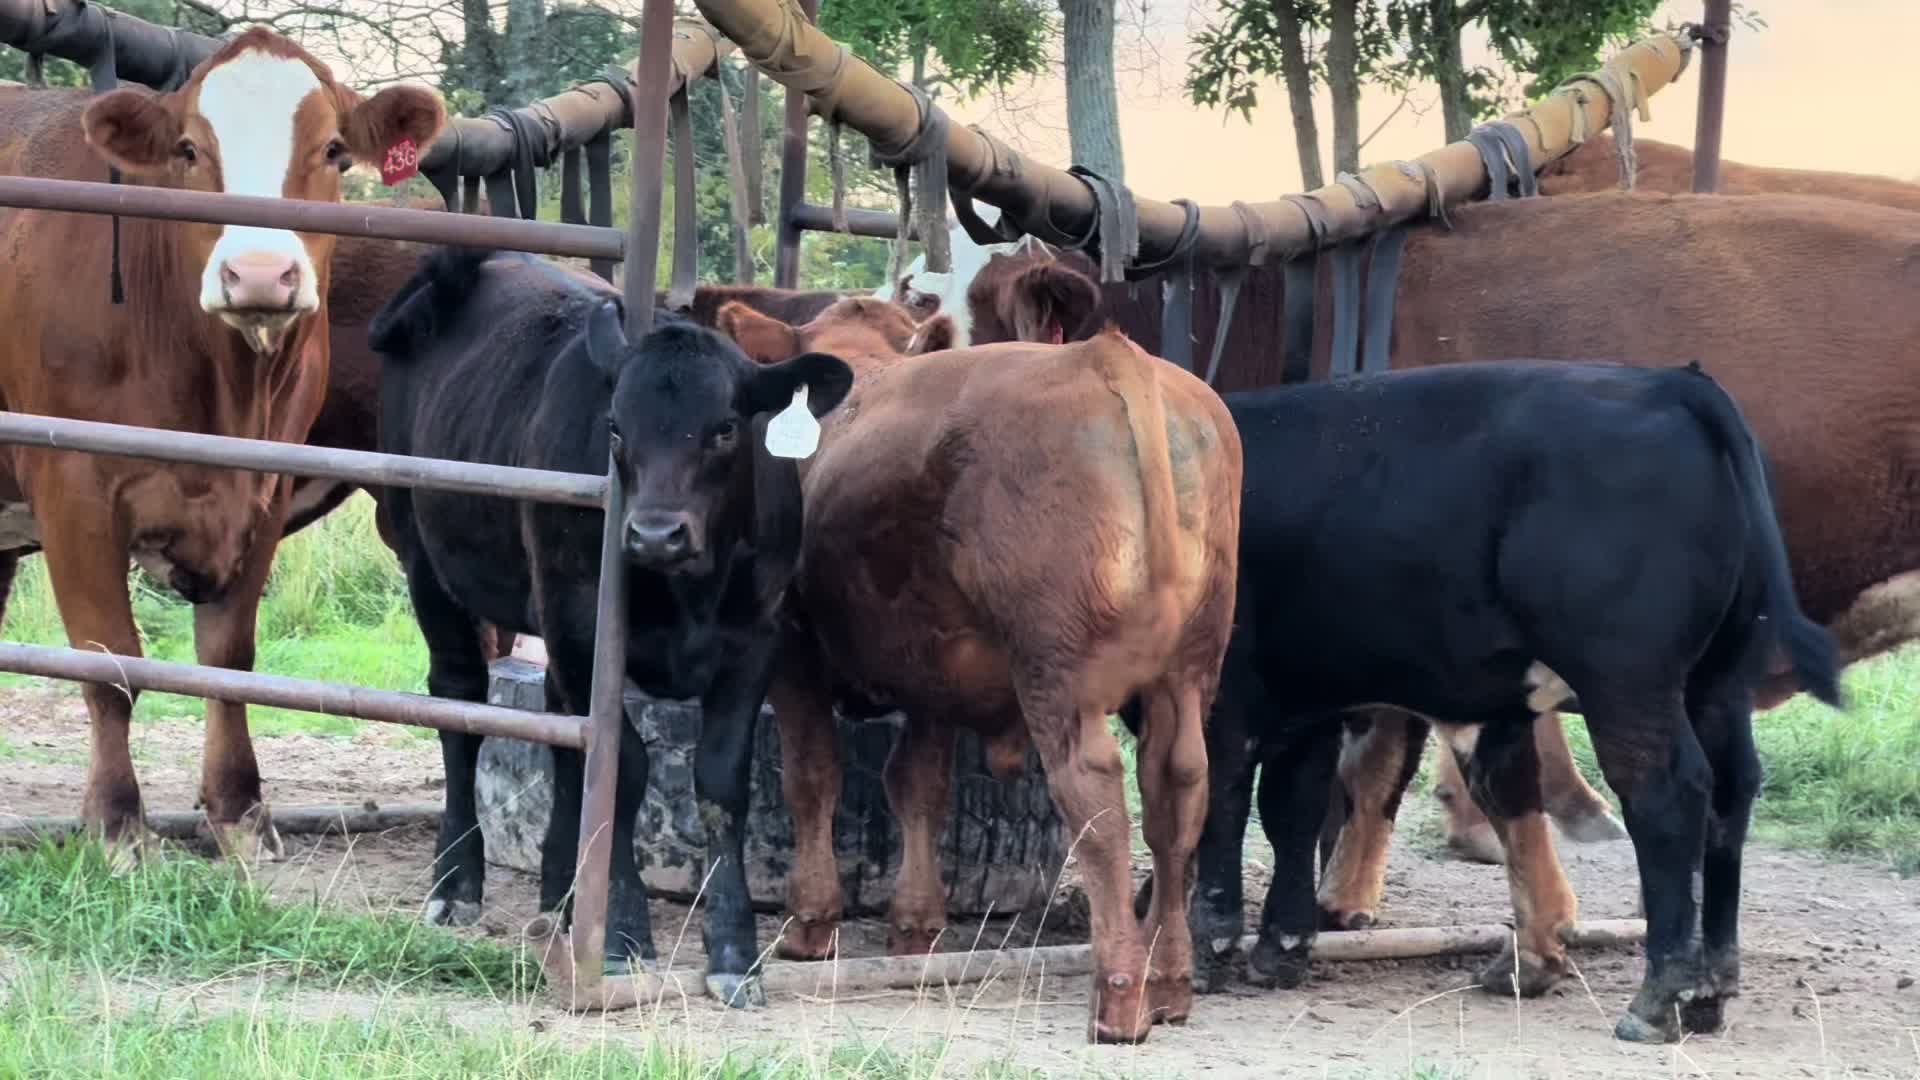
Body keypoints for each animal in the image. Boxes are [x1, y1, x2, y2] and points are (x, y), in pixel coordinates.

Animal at [0, 29, 445, 858]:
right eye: (187, 149)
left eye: (334, 149)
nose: (260, 274)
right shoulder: (72, 485)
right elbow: (110, 663)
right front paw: (117, 823)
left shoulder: (264, 486)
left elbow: (228, 658)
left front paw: (240, 812)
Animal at [368, 246, 853, 1007]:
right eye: (616, 428)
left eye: (725, 427)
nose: (654, 534)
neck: (692, 588)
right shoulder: (580, 622)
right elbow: (623, 768)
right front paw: (622, 937)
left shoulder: (756, 637)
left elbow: (720, 783)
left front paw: (734, 951)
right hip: (424, 556)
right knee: (461, 702)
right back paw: (458, 882)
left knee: (562, 732)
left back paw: (561, 895)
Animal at [1123, 360, 1839, 1044]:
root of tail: (1674, 384)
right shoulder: (1304, 701)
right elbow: (1290, 813)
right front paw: (1281, 947)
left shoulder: (1218, 699)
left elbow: (1213, 814)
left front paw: (1199, 951)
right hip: (1716, 681)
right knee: (1729, 793)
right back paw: (1703, 989)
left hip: (1629, 679)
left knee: (1667, 796)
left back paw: (1658, 999)